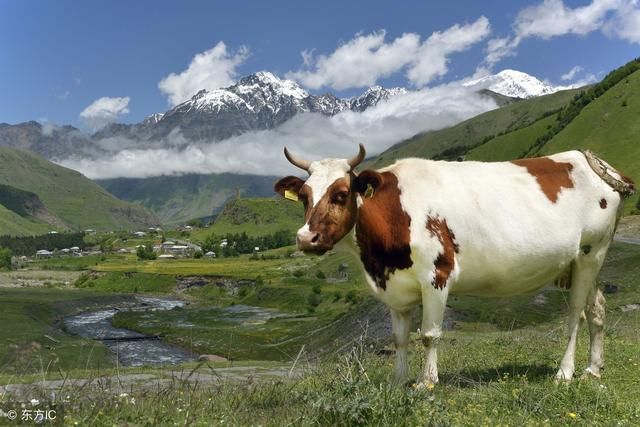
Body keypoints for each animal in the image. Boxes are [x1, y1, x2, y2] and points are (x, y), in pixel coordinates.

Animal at [276, 144, 636, 388]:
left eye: (340, 194)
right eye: (305, 196)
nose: (307, 238)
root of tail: (592, 162)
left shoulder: (437, 274)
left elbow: (429, 334)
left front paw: (426, 382)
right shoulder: (397, 287)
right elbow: (399, 338)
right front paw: (397, 382)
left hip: (592, 251)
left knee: (576, 312)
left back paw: (565, 371)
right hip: (585, 260)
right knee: (597, 307)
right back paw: (592, 368)